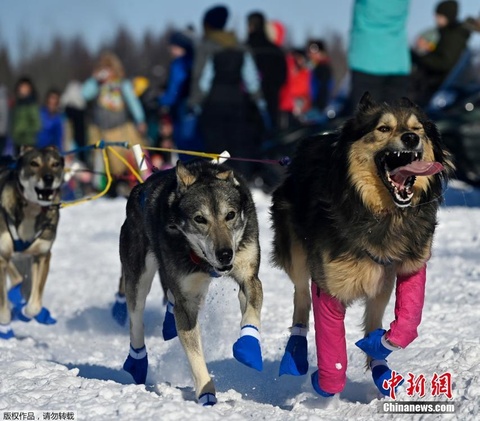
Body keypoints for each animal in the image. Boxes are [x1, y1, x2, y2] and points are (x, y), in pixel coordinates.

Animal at [0, 145, 64, 338]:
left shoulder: (42, 256)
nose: (49, 178)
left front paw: (25, 312)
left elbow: (34, 305)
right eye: (34, 163)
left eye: (55, 164)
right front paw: (5, 323)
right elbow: (4, 306)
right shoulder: (3, 256)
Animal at [118, 159, 264, 406]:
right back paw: (136, 362)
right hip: (139, 277)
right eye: (200, 219)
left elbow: (251, 312)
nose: (225, 254)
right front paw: (206, 394)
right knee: (136, 319)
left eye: (230, 215)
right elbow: (195, 354)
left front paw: (249, 348)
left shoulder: (249, 277)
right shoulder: (186, 301)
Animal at [270, 92, 454, 398]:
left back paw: (380, 366)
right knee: (301, 295)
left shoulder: (412, 265)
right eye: (383, 128)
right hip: (295, 251)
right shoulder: (330, 285)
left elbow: (407, 323)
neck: (383, 215)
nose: (410, 138)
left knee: (374, 315)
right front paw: (325, 387)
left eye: (417, 129)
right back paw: (295, 351)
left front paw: (380, 346)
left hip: (381, 280)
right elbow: (332, 350)